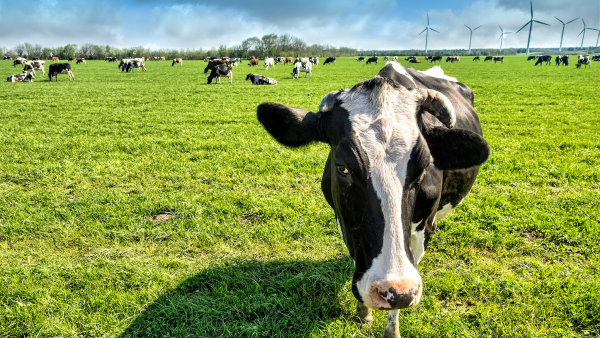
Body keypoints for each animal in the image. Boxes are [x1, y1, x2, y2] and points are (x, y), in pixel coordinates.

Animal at [255, 60, 490, 338]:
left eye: (423, 168)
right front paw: (362, 312)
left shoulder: (422, 231)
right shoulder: (344, 221)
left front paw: (391, 329)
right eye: (343, 168)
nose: (395, 290)